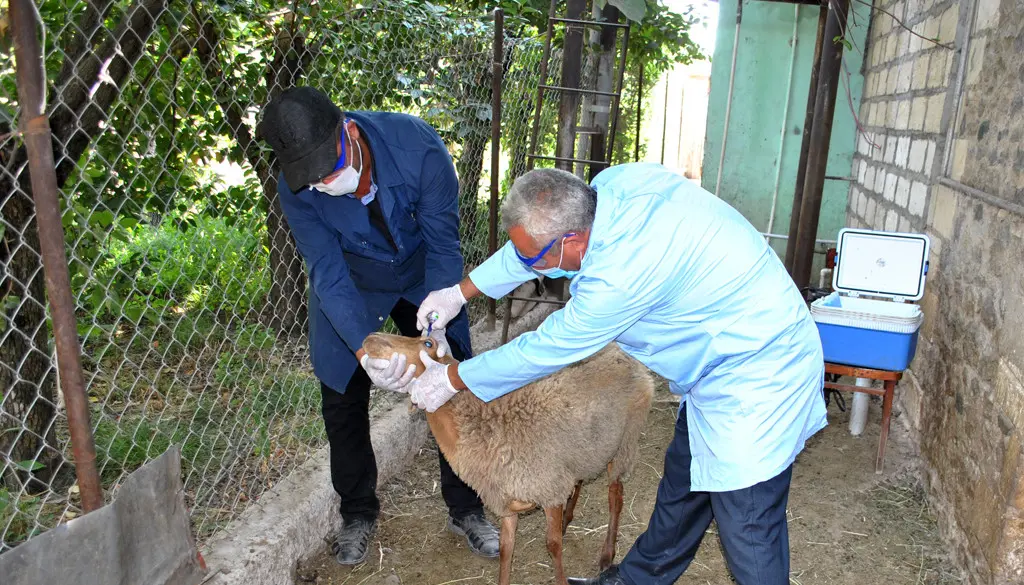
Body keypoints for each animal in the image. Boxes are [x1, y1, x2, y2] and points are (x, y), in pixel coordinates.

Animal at [360, 333, 655, 585]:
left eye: (428, 343)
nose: (370, 339)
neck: (487, 421)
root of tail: (620, 349)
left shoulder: (548, 489)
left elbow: (552, 545)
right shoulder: (507, 502)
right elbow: (505, 549)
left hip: (624, 443)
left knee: (615, 498)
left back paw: (607, 555)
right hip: (587, 449)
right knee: (580, 481)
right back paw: (568, 517)